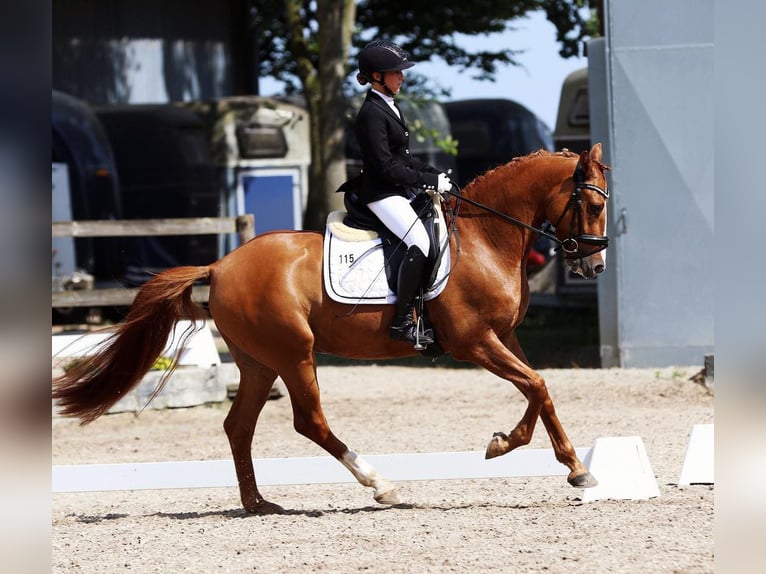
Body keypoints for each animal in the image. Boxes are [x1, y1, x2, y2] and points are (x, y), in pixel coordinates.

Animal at [52, 144, 612, 512]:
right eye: (593, 205)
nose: (594, 268)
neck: (485, 238)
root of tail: (221, 265)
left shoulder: (504, 336)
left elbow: (539, 389)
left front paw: (558, 460)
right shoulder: (473, 342)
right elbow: (536, 384)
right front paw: (525, 451)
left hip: (259, 361)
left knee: (239, 426)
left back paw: (259, 503)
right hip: (295, 353)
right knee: (310, 422)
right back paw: (381, 485)